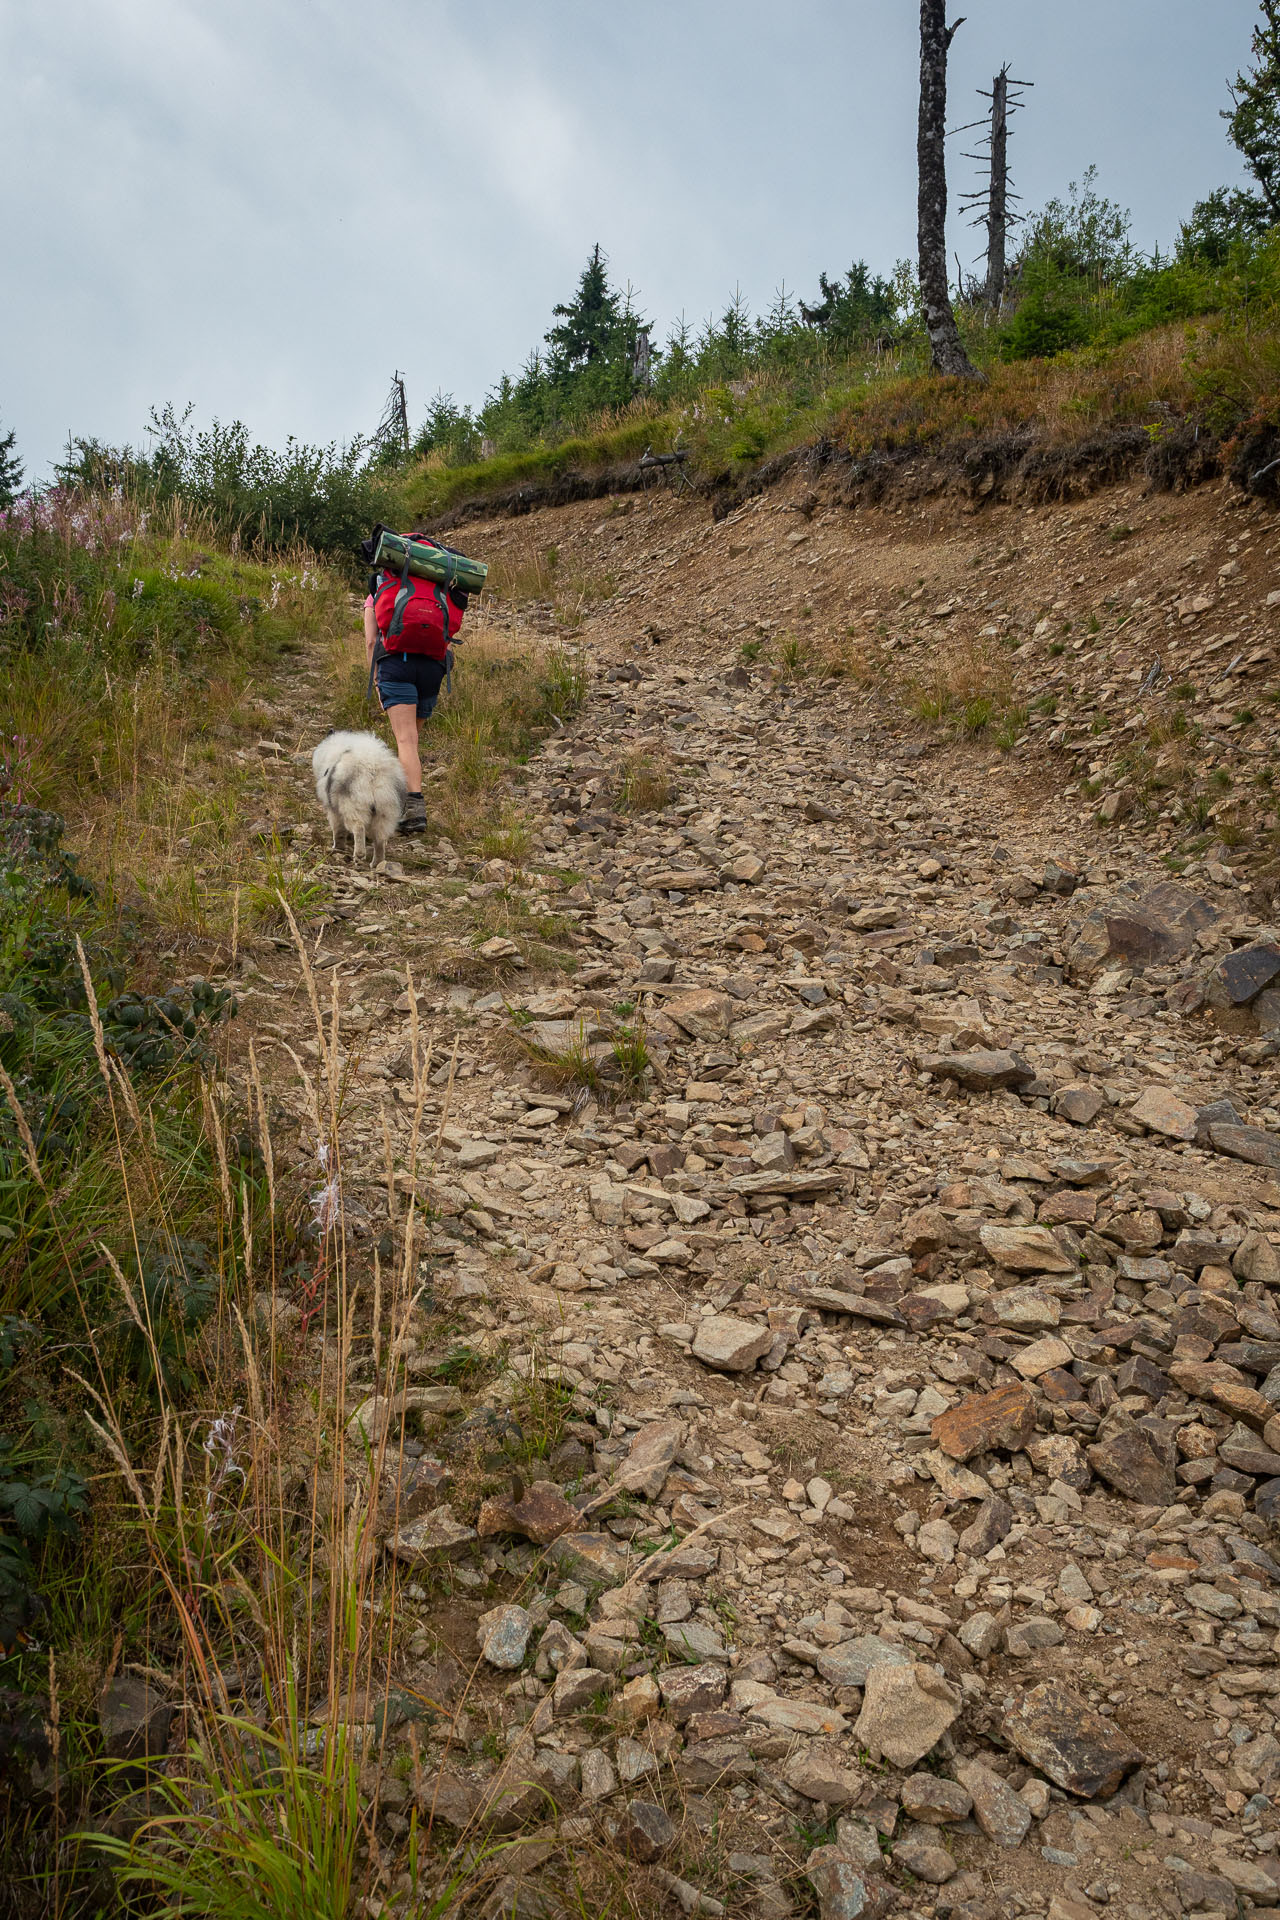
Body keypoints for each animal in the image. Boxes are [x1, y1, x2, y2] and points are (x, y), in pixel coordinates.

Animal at [310, 729, 404, 867]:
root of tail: (372, 768)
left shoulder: (333, 810)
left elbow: (338, 831)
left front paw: (337, 847)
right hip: (385, 811)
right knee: (380, 840)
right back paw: (376, 863)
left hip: (353, 805)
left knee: (359, 827)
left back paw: (359, 855)